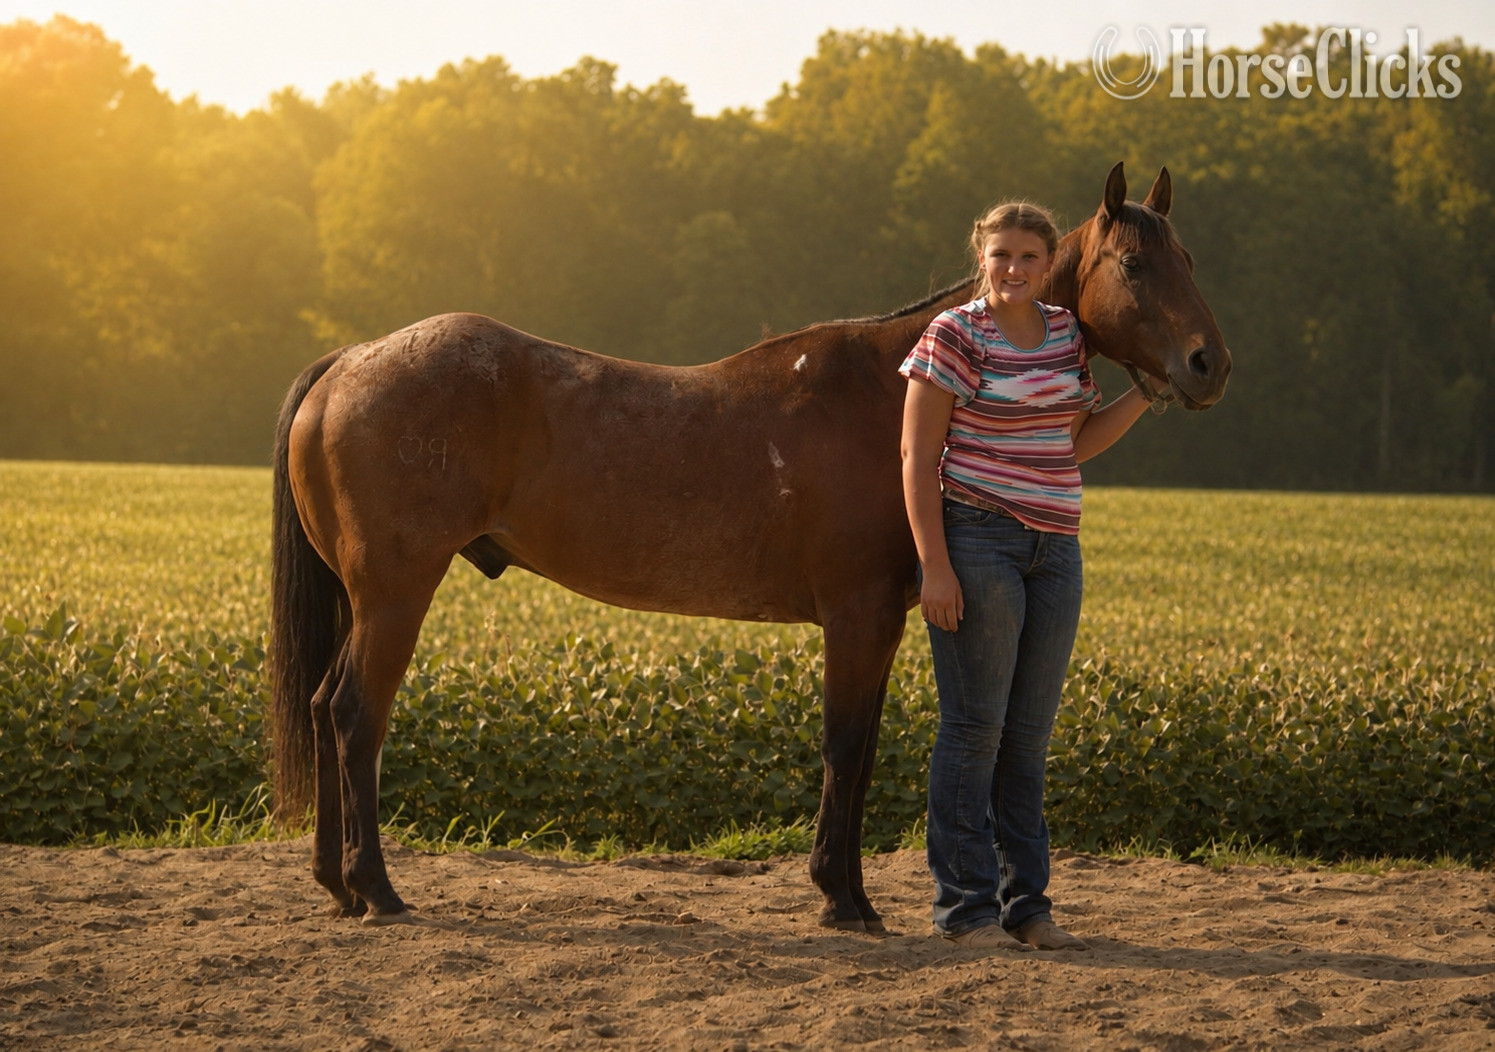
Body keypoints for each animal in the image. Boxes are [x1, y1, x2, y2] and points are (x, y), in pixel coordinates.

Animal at [270, 162, 1231, 931]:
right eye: (1135, 265)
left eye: (1189, 260)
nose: (1207, 365)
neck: (888, 397)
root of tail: (352, 360)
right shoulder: (857, 617)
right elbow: (846, 748)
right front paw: (844, 900)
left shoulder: (878, 623)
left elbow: (861, 750)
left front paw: (843, 891)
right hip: (397, 591)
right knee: (356, 715)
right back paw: (376, 889)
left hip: (366, 597)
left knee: (321, 706)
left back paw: (337, 885)